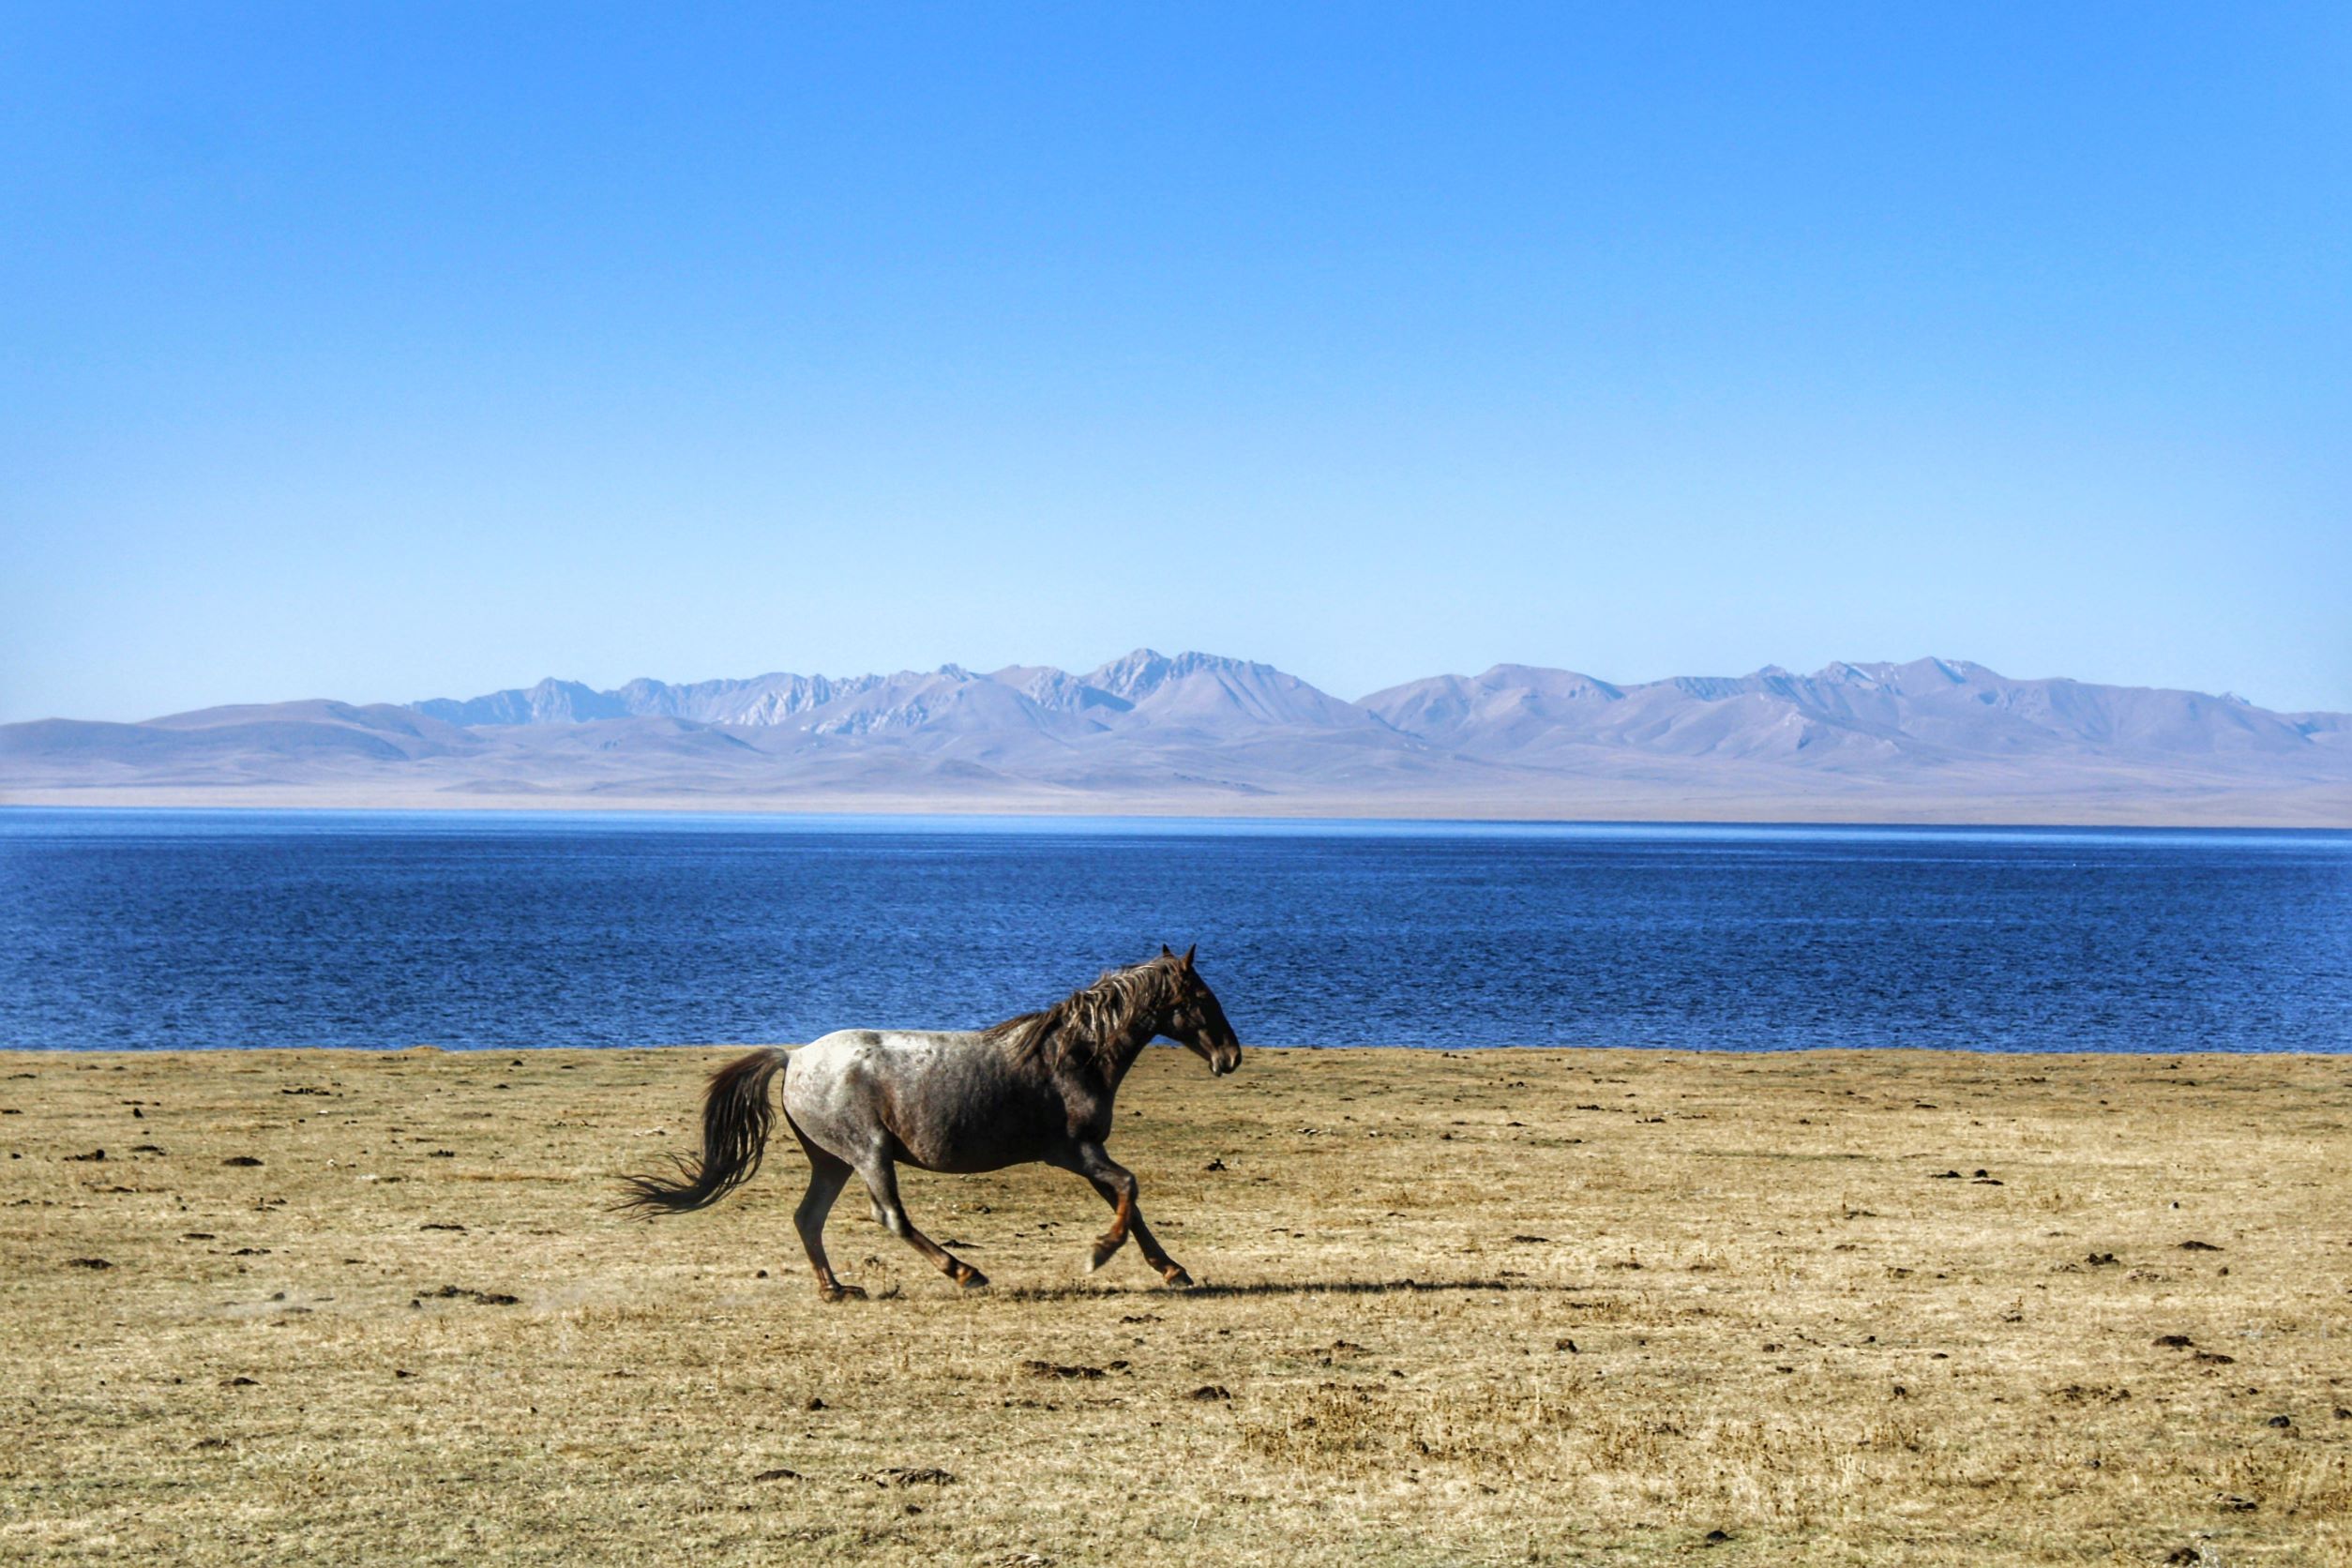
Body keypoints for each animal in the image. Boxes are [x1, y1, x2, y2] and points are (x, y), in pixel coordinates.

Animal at [626, 944, 1251, 1297]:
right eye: (1201, 996)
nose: (1230, 1057)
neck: (1071, 1056)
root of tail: (795, 1057)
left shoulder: (1085, 1156)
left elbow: (1130, 1201)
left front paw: (1171, 1269)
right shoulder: (1076, 1151)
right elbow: (1129, 1188)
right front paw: (1100, 1254)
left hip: (832, 1160)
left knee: (808, 1219)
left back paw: (837, 1290)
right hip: (868, 1152)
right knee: (890, 1217)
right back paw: (965, 1273)